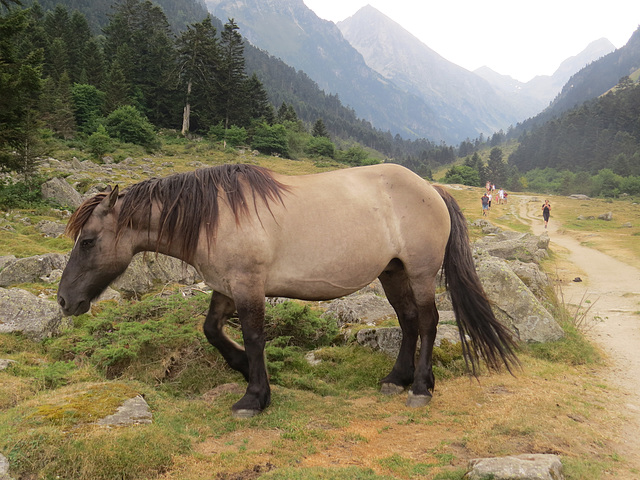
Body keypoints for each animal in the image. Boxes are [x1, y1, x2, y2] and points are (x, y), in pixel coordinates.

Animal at [57, 163, 518, 418]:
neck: (216, 216)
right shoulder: (226, 286)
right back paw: (397, 379)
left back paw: (421, 387)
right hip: (393, 273)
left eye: (88, 242)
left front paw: (254, 397)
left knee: (427, 321)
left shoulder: (248, 286)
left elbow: (254, 336)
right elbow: (212, 330)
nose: (64, 301)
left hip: (420, 274)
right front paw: (245, 371)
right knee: (407, 320)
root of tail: (431, 189)